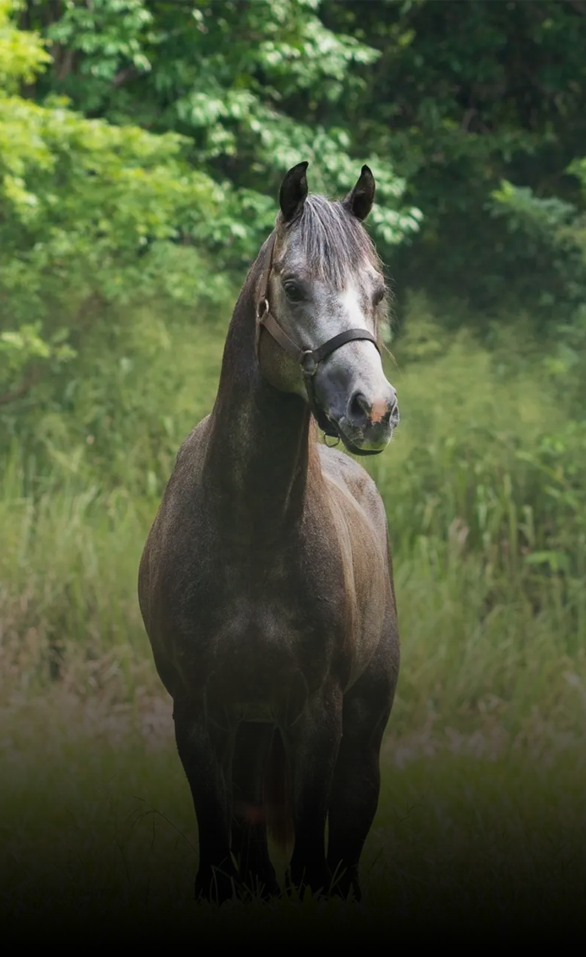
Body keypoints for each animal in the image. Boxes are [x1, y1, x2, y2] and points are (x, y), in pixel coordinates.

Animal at [138, 161, 396, 900]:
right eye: (295, 285)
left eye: (378, 291)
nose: (374, 409)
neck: (249, 535)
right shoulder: (199, 715)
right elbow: (220, 853)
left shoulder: (319, 718)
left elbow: (311, 856)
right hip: (251, 727)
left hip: (361, 728)